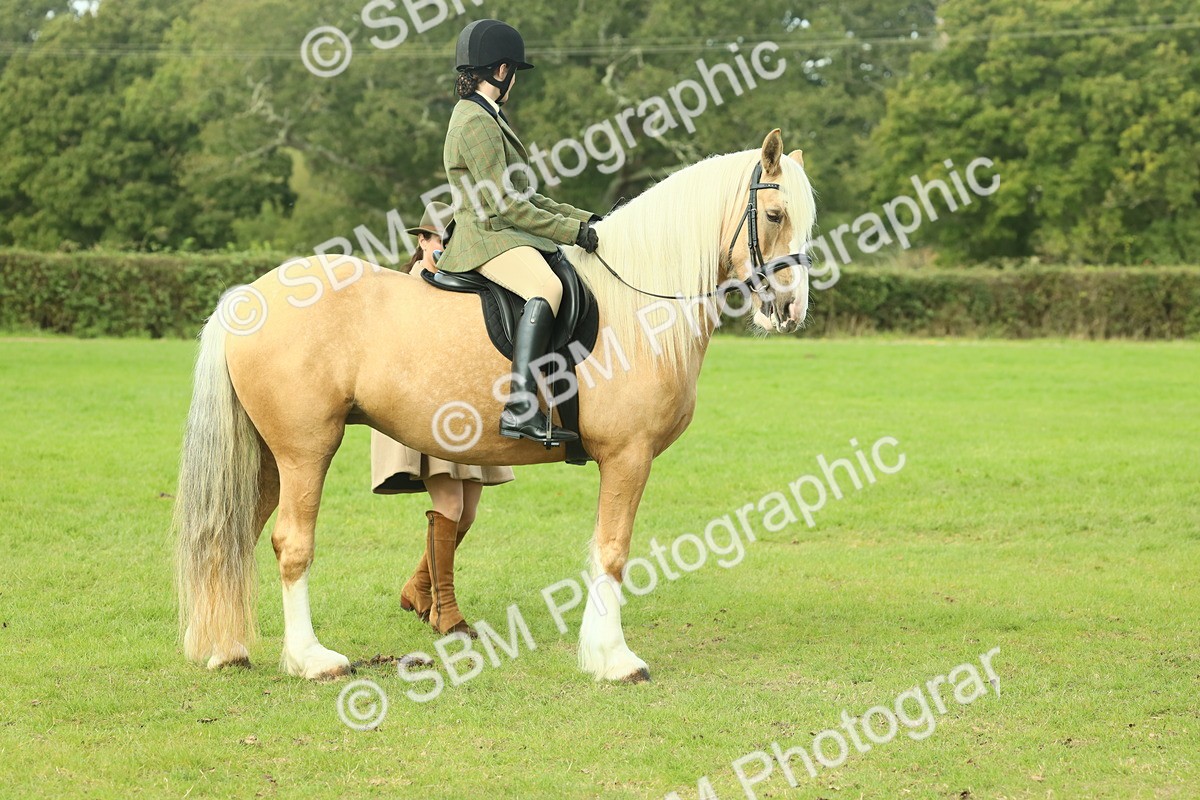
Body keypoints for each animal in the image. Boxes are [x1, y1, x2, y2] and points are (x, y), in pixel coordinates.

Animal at [174, 128, 815, 682]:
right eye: (775, 215)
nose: (792, 310)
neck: (634, 303)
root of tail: (246, 299)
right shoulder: (628, 456)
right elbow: (612, 552)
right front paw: (614, 660)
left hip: (266, 457)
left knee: (232, 537)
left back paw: (227, 650)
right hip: (305, 450)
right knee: (290, 544)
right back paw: (312, 659)